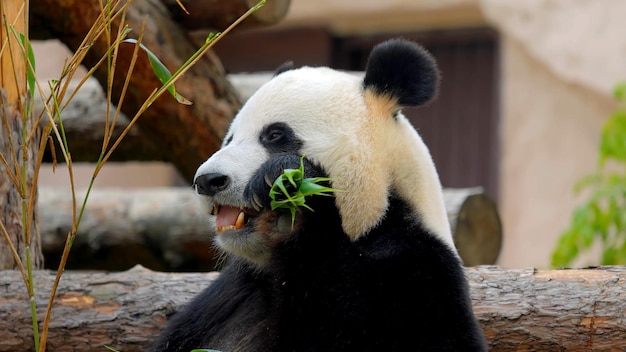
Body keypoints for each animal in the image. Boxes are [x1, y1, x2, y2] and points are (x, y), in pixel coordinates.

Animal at [149, 39, 486, 352]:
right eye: (230, 138)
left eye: (275, 135)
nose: (208, 181)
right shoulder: (228, 296)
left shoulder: (413, 274)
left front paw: (287, 190)